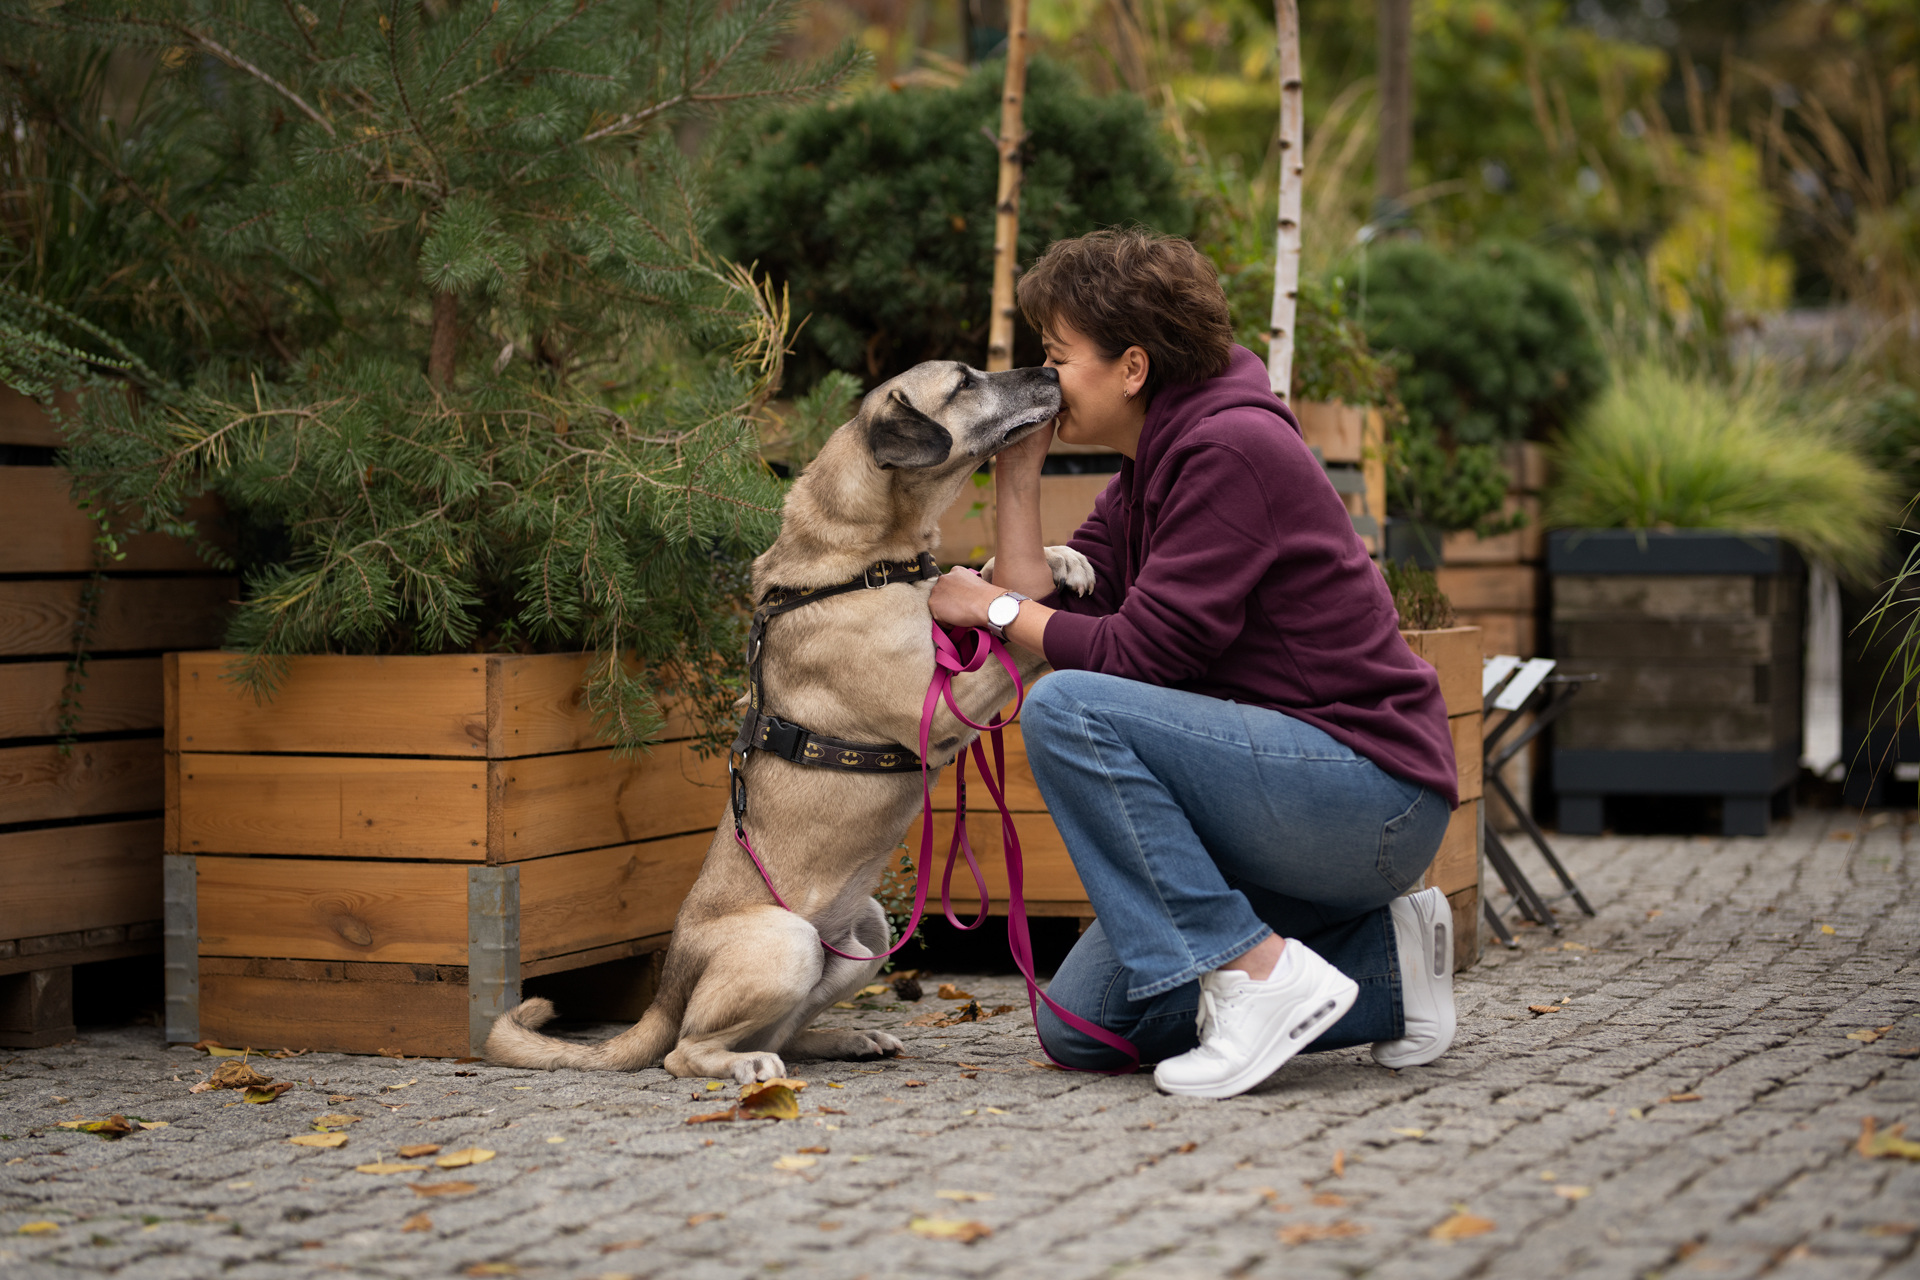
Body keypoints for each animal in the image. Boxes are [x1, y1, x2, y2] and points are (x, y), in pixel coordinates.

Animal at [487, 358, 1098, 1082]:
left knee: (783, 1031)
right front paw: (1050, 605)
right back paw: (748, 1067)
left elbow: (990, 580)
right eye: (963, 382)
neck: (869, 560)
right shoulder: (940, 704)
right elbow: (1016, 638)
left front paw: (1059, 559)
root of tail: (665, 993)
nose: (1050, 369)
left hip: (866, 933)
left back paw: (844, 1039)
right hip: (787, 943)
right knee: (686, 1053)